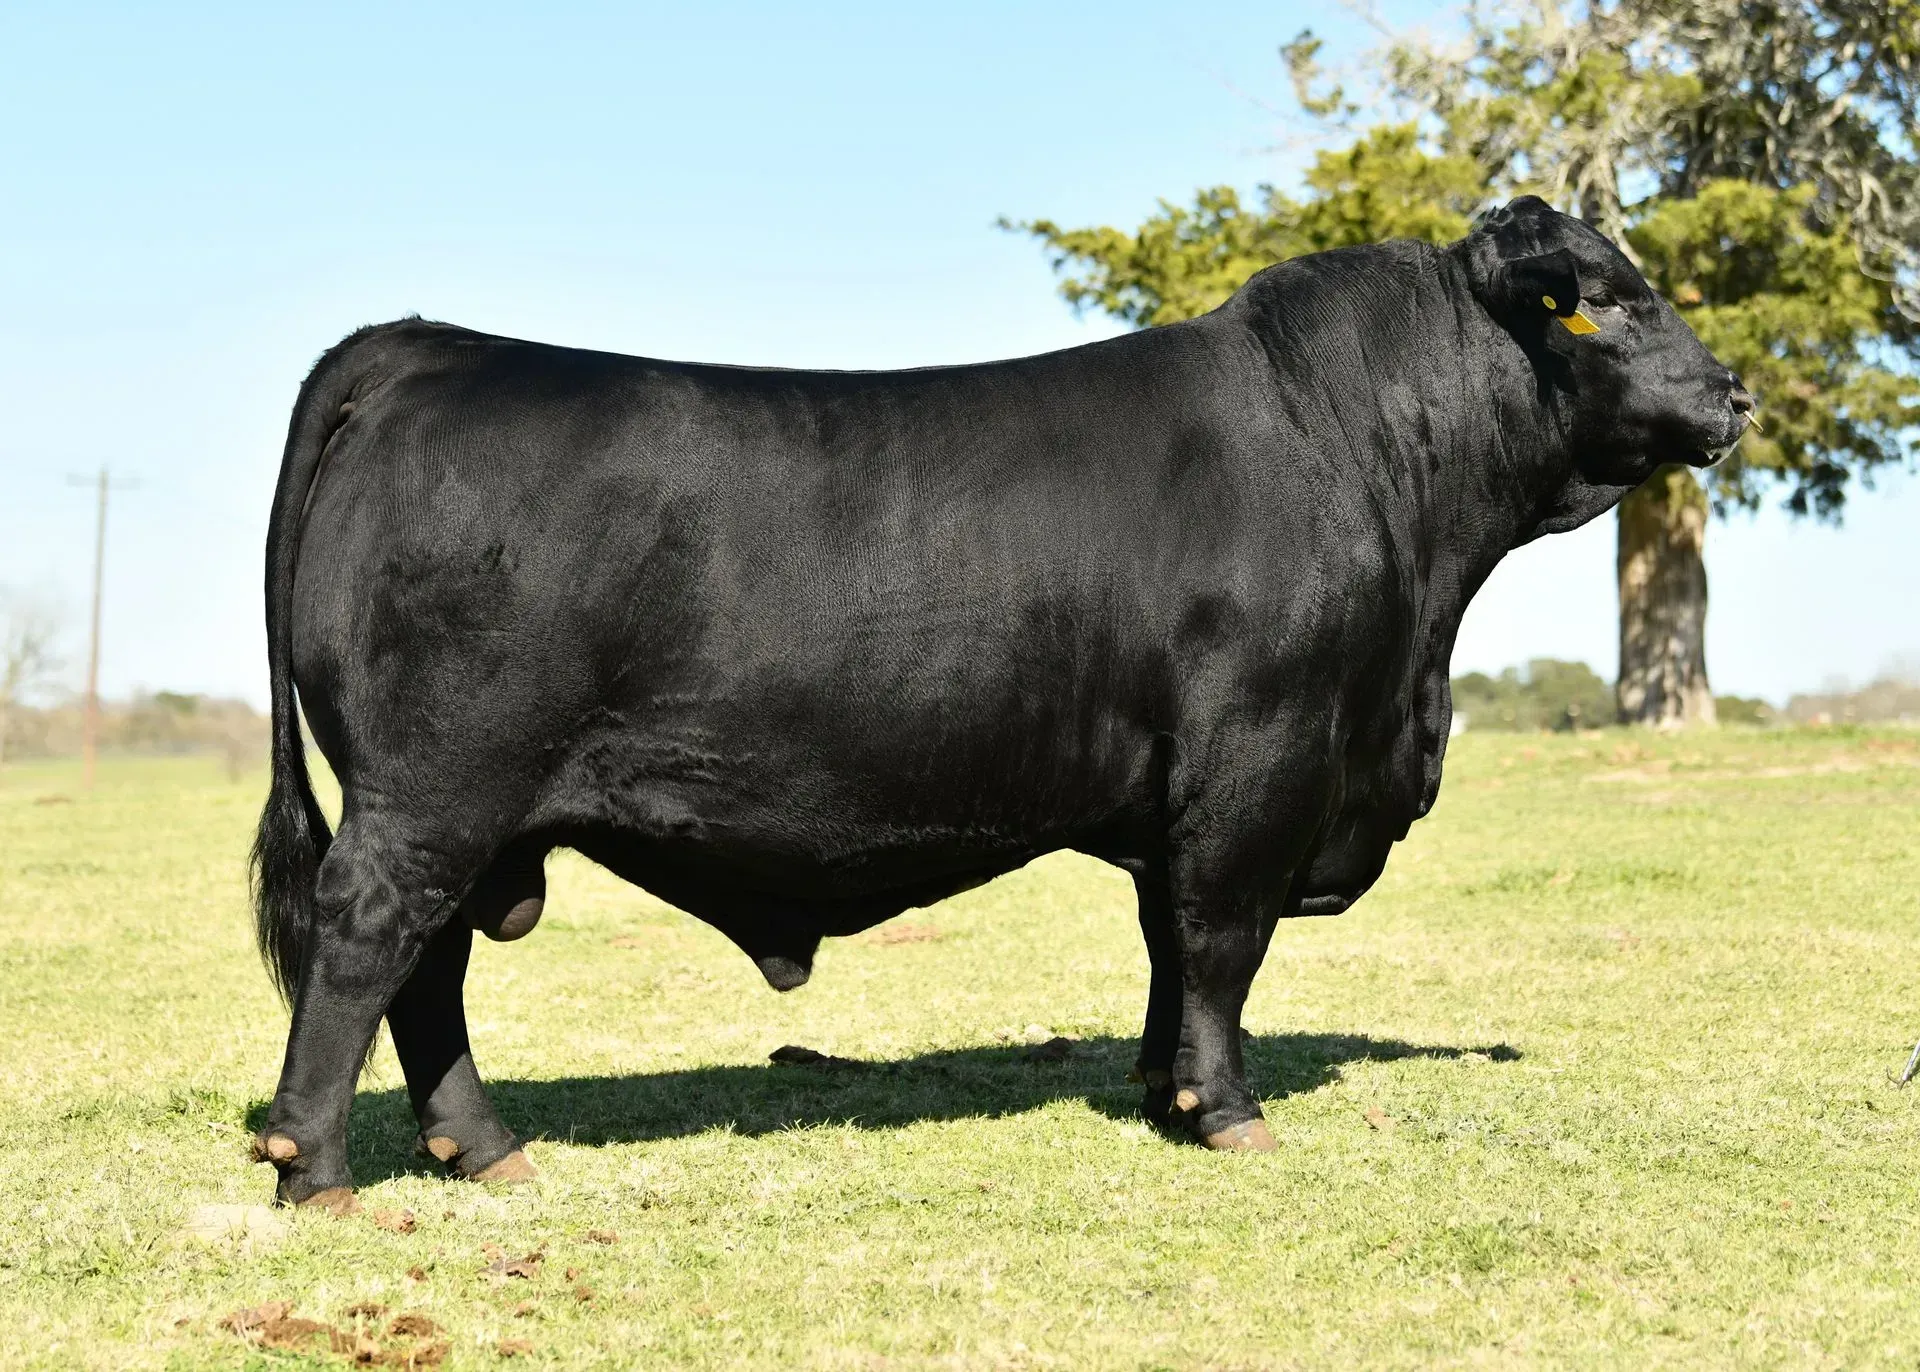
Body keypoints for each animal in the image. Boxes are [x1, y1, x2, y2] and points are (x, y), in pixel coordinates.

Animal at [248, 197, 1752, 1210]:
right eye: (1610, 299)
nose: (1734, 392)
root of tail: (425, 346)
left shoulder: (1177, 790)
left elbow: (1167, 944)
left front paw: (1163, 1090)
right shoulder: (1260, 757)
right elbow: (1223, 940)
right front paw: (1232, 1111)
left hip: (473, 810)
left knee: (430, 966)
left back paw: (485, 1151)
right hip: (436, 787)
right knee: (371, 936)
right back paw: (316, 1164)